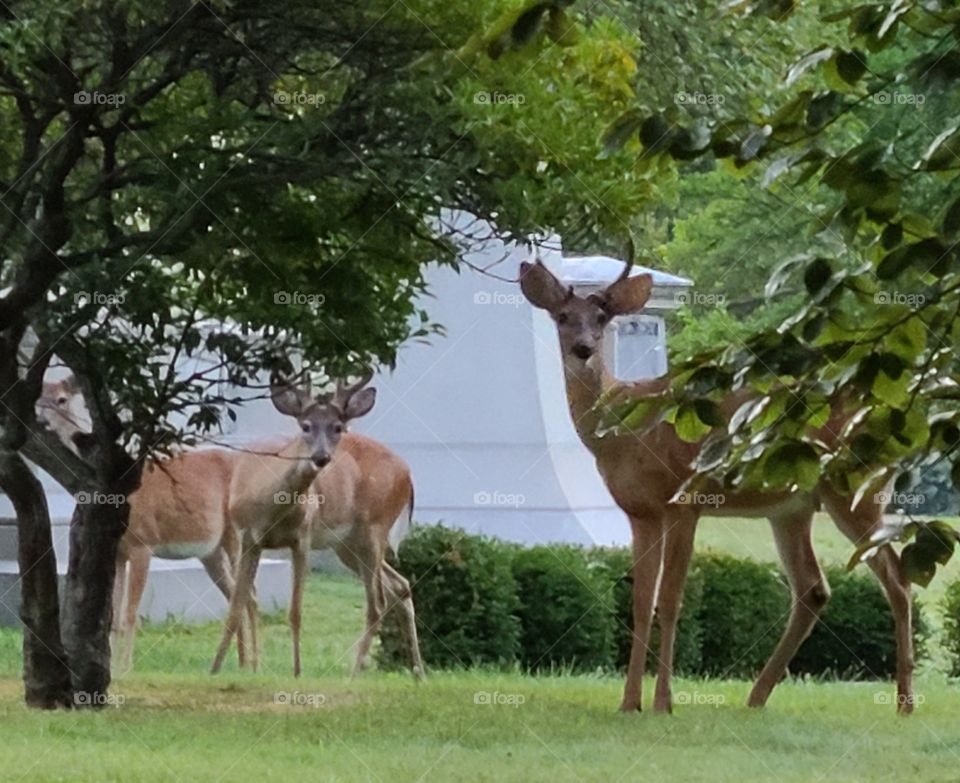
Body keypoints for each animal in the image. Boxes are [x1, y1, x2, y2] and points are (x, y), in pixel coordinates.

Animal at [36, 377, 254, 673]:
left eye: (61, 399)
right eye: (37, 397)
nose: (41, 420)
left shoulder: (143, 542)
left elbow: (130, 614)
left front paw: (125, 669)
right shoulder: (117, 551)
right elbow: (113, 617)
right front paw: (111, 667)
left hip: (236, 532)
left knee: (249, 594)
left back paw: (253, 664)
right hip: (210, 550)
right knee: (236, 596)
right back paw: (235, 665)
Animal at [210, 372, 424, 680]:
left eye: (337, 427)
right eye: (306, 426)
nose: (321, 457)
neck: (270, 508)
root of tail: (407, 474)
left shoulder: (303, 537)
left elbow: (295, 611)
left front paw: (297, 673)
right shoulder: (247, 539)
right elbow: (236, 606)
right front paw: (214, 669)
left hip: (375, 529)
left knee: (377, 604)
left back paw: (353, 675)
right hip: (348, 545)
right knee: (401, 585)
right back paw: (419, 673)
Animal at [519, 259, 915, 714]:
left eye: (602, 318)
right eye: (563, 317)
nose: (583, 348)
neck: (625, 428)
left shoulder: (684, 499)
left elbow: (670, 600)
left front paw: (663, 703)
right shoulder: (640, 512)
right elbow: (640, 603)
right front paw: (629, 702)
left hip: (855, 487)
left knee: (898, 578)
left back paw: (905, 702)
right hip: (791, 509)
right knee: (813, 588)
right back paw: (756, 697)